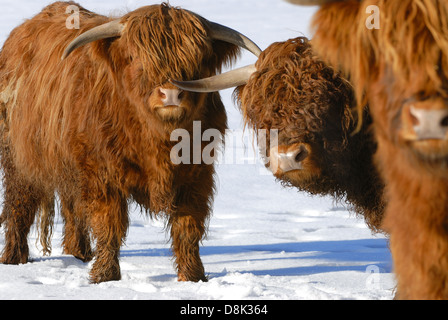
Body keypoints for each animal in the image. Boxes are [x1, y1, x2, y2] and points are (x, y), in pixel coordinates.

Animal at [0, 1, 262, 282]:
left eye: (197, 59)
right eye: (135, 58)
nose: (171, 94)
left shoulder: (197, 174)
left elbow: (188, 225)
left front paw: (193, 277)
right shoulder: (101, 174)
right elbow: (109, 223)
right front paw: (105, 275)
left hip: (69, 167)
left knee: (74, 209)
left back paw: (79, 253)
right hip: (19, 158)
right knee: (19, 205)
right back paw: (15, 258)